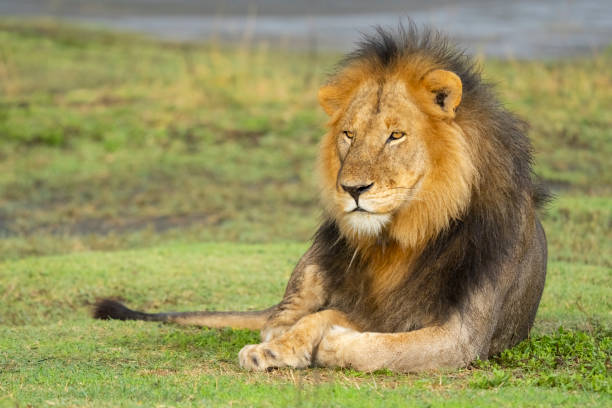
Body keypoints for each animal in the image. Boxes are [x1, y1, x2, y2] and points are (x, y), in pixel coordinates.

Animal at [95, 23, 548, 372]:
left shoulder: (463, 336)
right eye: (348, 134)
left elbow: (386, 346)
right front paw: (297, 342)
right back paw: (270, 348)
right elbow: (329, 318)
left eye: (395, 135)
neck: (407, 234)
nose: (353, 189)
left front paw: (333, 343)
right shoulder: (369, 305)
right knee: (277, 319)